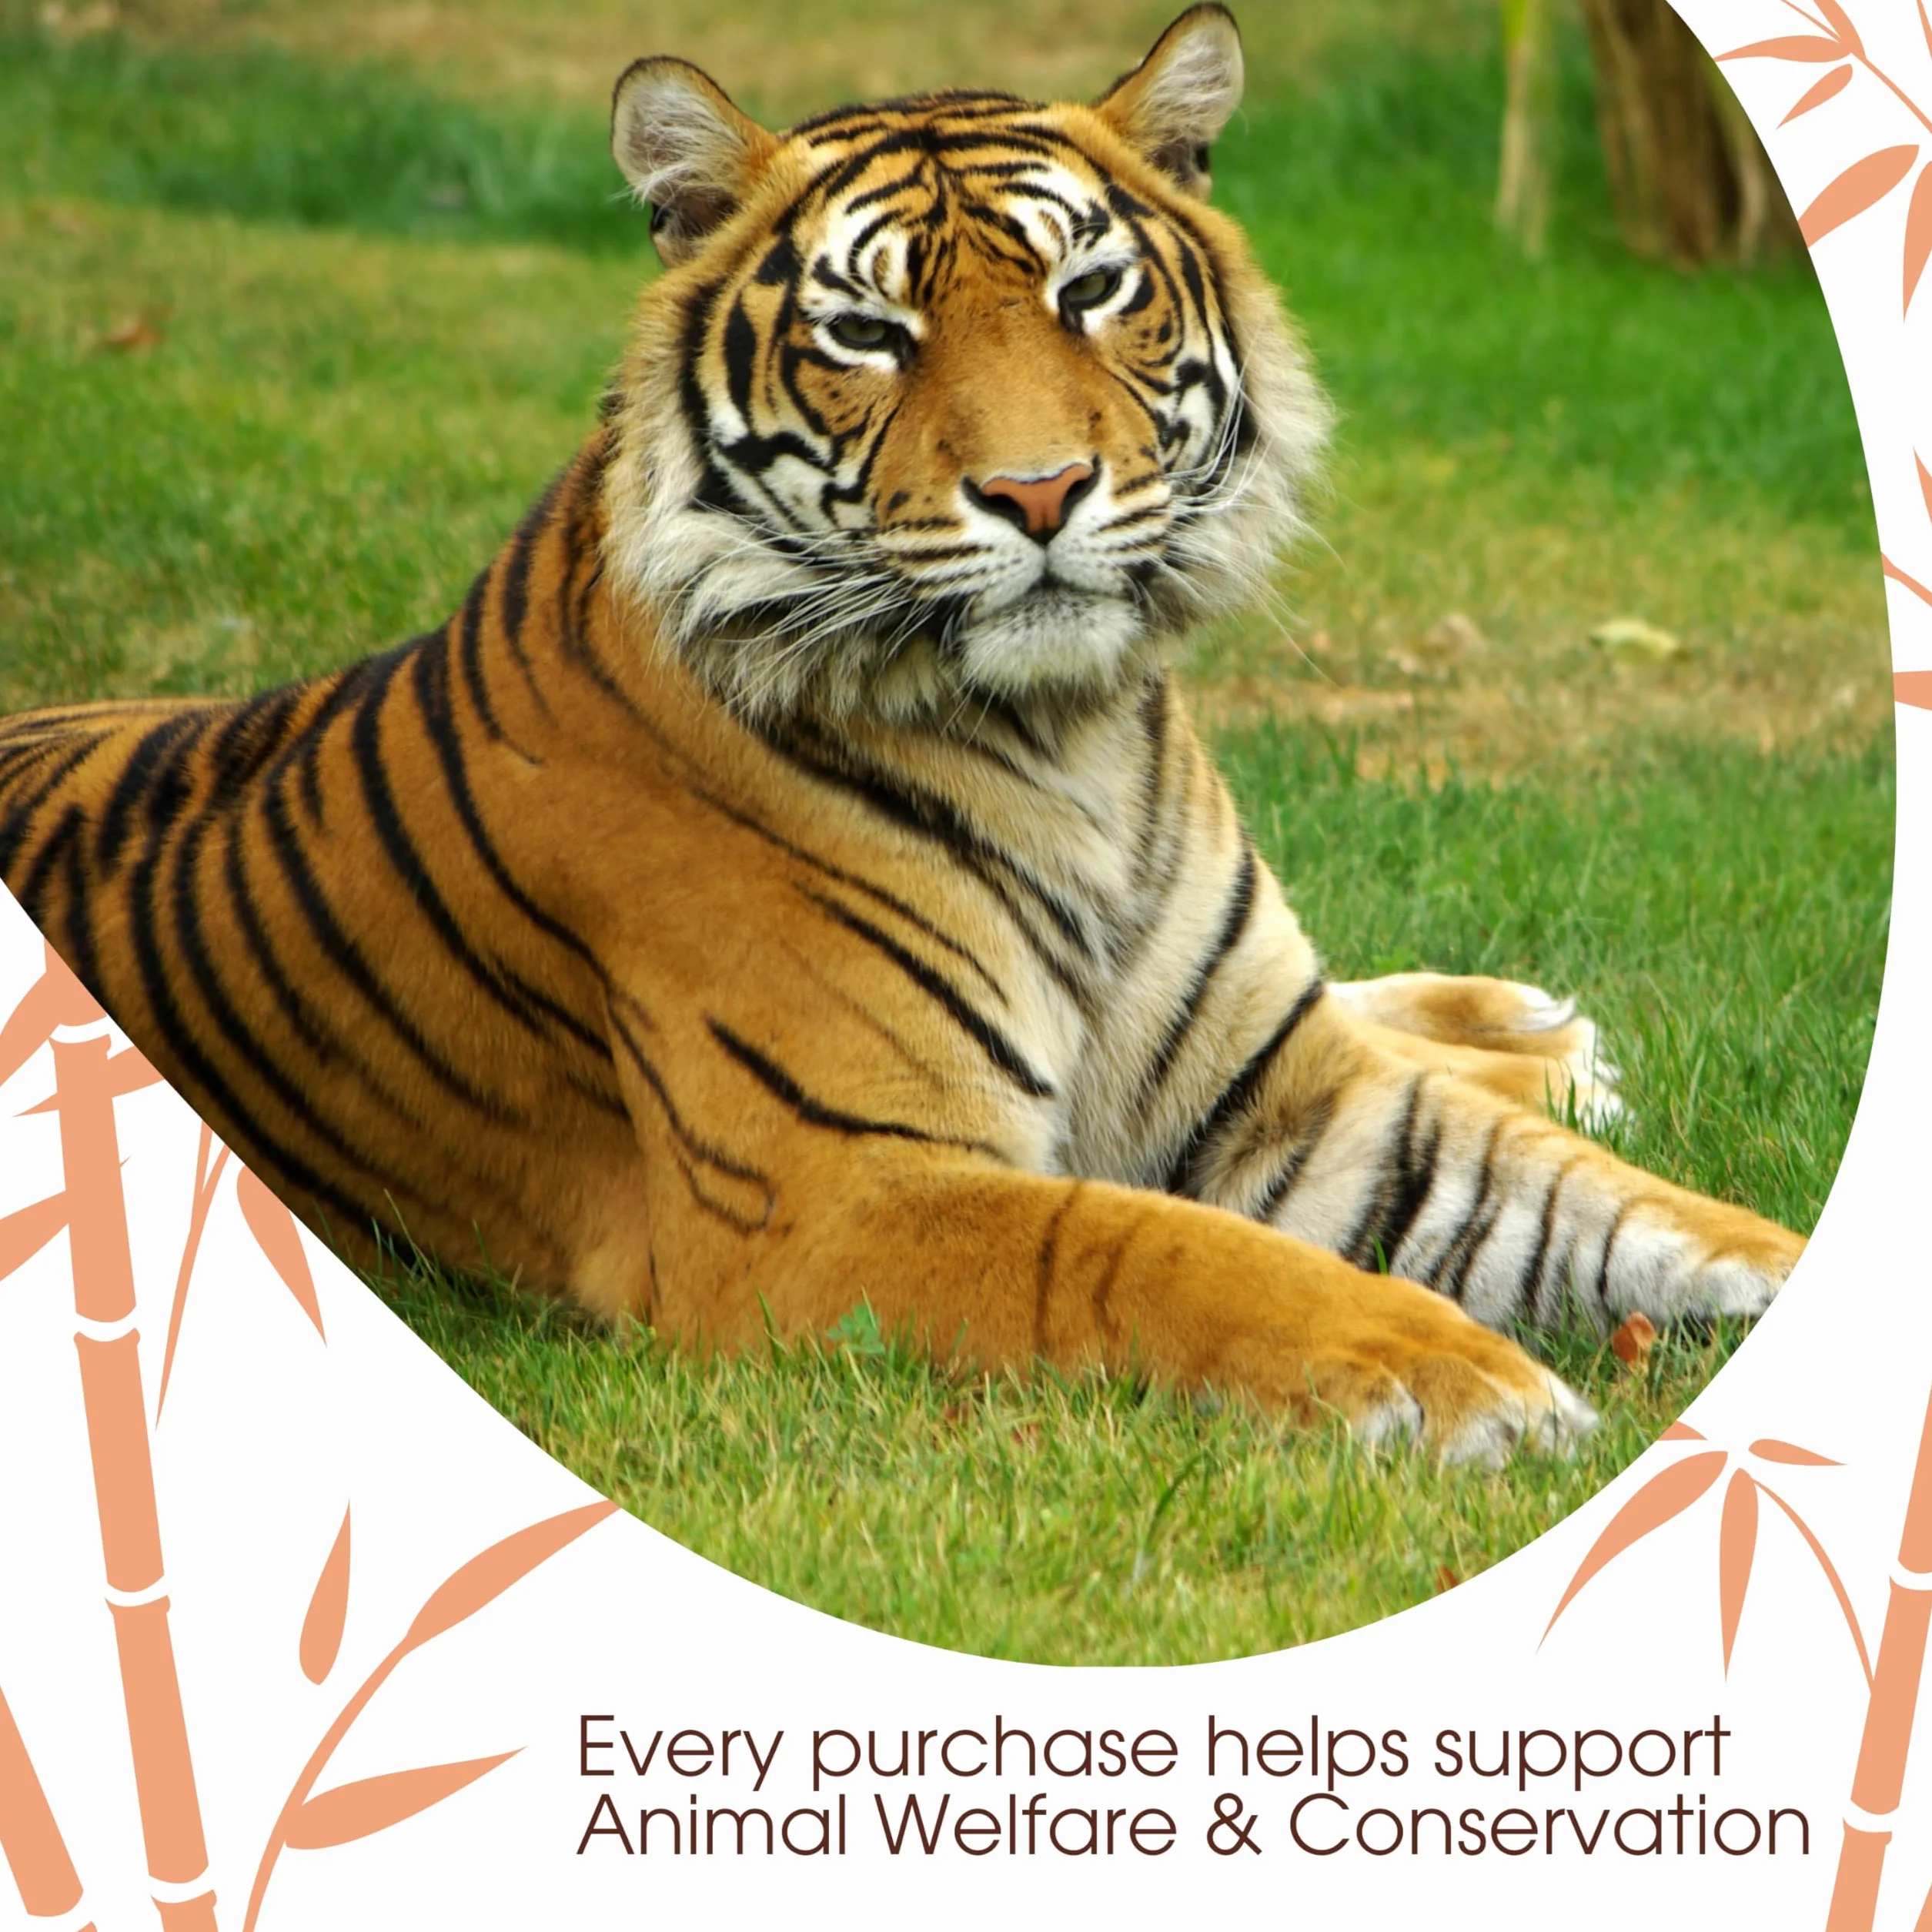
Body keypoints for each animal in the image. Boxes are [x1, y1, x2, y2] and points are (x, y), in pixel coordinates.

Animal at [0, 4, 1803, 1466]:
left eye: (1090, 291)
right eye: (868, 334)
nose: (1038, 493)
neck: (1074, 743)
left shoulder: (1298, 1095)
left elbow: (1627, 1210)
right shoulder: (833, 1198)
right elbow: (1151, 1247)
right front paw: (1458, 1376)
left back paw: (1532, 1030)